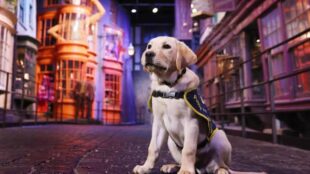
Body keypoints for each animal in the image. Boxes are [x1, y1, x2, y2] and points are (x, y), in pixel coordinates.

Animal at [133, 36, 266, 174]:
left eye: (166, 46)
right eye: (149, 46)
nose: (148, 54)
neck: (169, 86)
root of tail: (202, 167)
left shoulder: (191, 122)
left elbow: (188, 150)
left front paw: (186, 171)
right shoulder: (158, 122)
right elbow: (153, 148)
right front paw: (145, 167)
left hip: (220, 137)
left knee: (222, 165)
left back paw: (221, 170)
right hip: (171, 142)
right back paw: (172, 166)